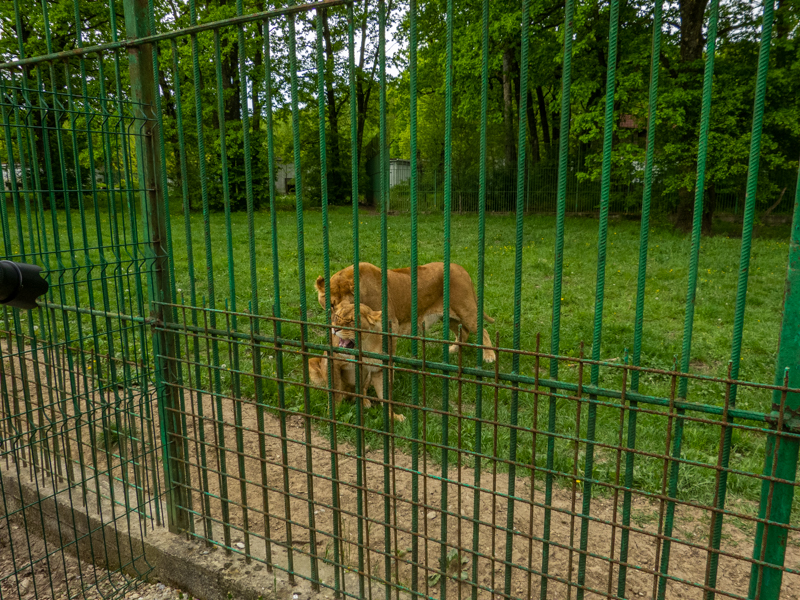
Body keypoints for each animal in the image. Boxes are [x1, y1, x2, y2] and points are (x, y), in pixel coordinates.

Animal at [315, 261, 496, 363]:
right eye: (331, 305)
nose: (336, 325)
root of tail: (461, 269)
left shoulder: (390, 325)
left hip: (466, 310)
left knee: (483, 330)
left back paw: (489, 356)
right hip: (447, 316)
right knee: (463, 332)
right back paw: (453, 350)